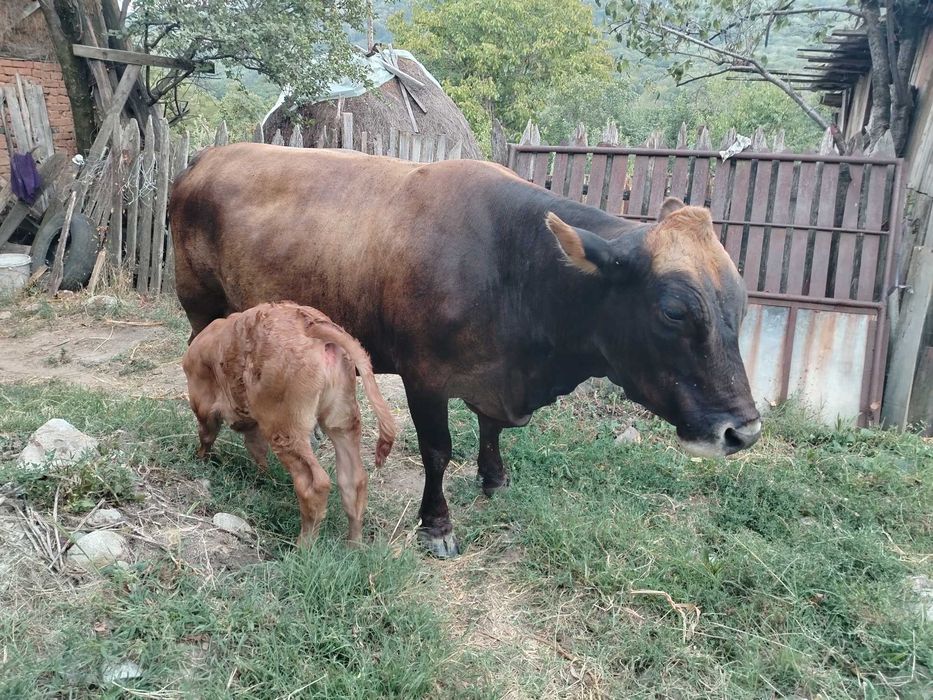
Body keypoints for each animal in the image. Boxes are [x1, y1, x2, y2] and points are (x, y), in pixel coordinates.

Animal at [182, 301, 396, 545]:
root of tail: (309, 324)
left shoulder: (204, 404)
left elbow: (207, 434)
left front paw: (200, 458)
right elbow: (256, 449)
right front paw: (264, 478)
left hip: (286, 427)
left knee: (315, 484)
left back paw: (303, 546)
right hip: (342, 420)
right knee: (354, 480)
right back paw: (354, 545)